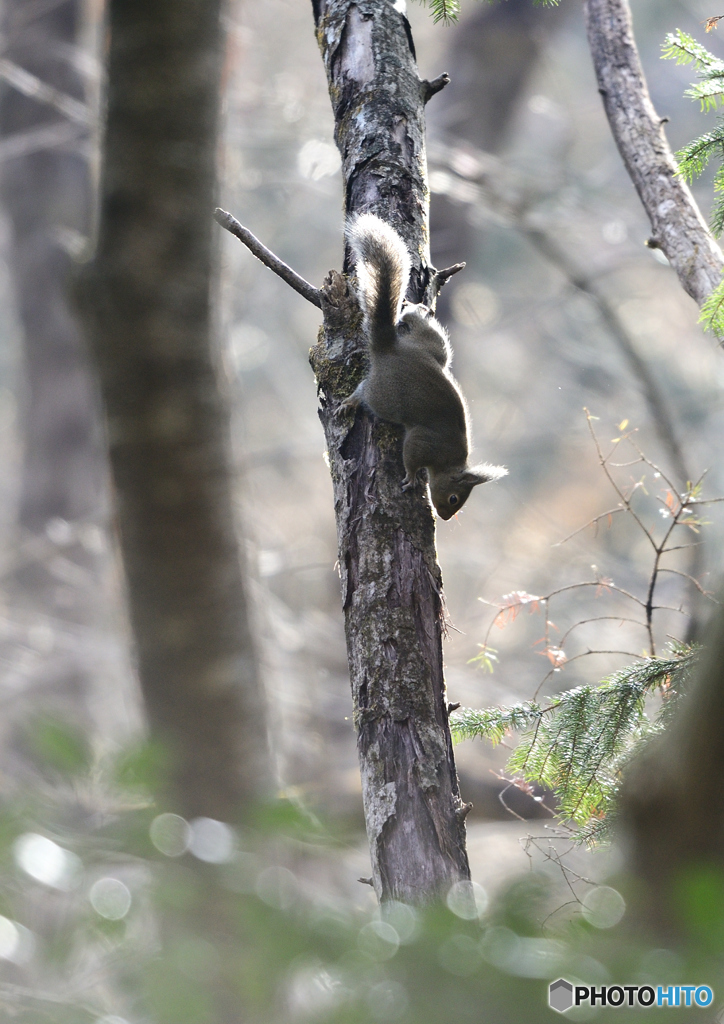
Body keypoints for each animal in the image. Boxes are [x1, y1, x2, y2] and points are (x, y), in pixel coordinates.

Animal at [342, 215, 507, 520]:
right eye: (454, 498)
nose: (445, 516)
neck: (448, 461)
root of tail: (390, 347)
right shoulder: (423, 443)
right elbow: (411, 458)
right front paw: (409, 478)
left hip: (433, 347)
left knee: (419, 327)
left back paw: (414, 310)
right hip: (385, 397)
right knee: (364, 392)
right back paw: (350, 401)